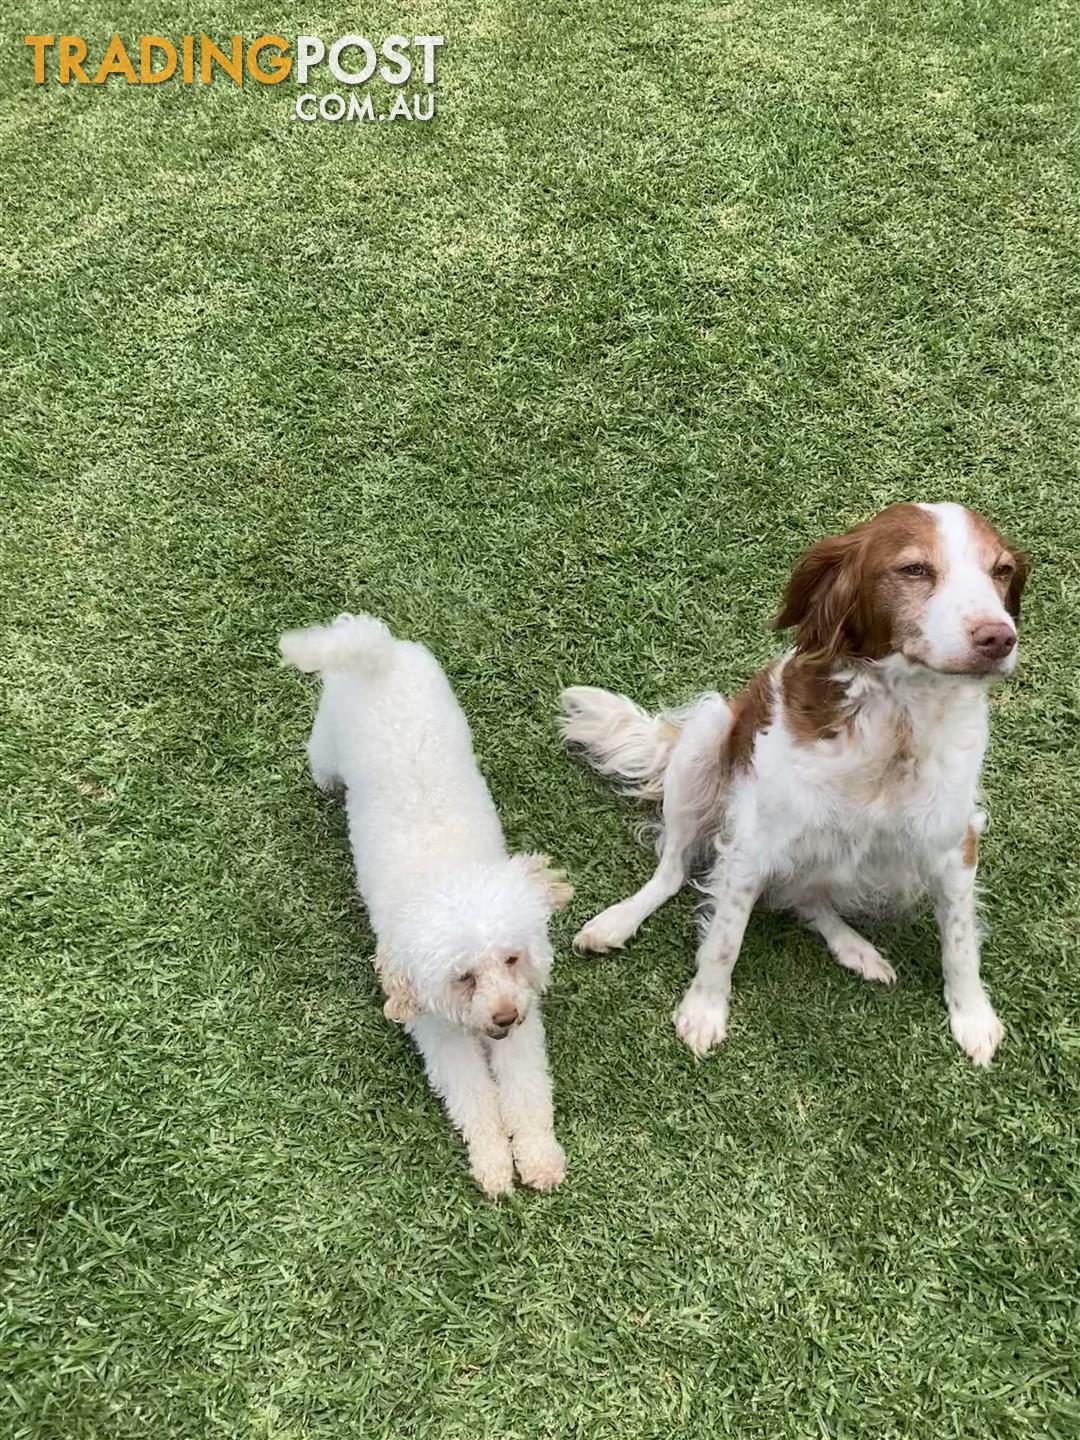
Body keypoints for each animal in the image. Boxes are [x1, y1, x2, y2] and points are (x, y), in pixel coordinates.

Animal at [279, 613, 576, 1198]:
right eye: (463, 977)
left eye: (512, 958)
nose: (504, 1015)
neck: (445, 874)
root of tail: (375, 654)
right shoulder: (441, 1036)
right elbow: (475, 1100)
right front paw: (494, 1163)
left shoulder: (521, 1032)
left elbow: (527, 1092)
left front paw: (537, 1157)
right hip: (327, 738)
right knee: (321, 762)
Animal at [561, 501, 1025, 1065]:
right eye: (914, 569)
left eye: (1001, 571)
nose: (998, 637)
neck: (898, 721)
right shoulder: (752, 843)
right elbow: (724, 939)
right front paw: (704, 1009)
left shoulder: (956, 843)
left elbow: (959, 942)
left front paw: (972, 1016)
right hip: (707, 735)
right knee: (672, 871)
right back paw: (617, 920)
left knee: (807, 898)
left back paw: (856, 949)